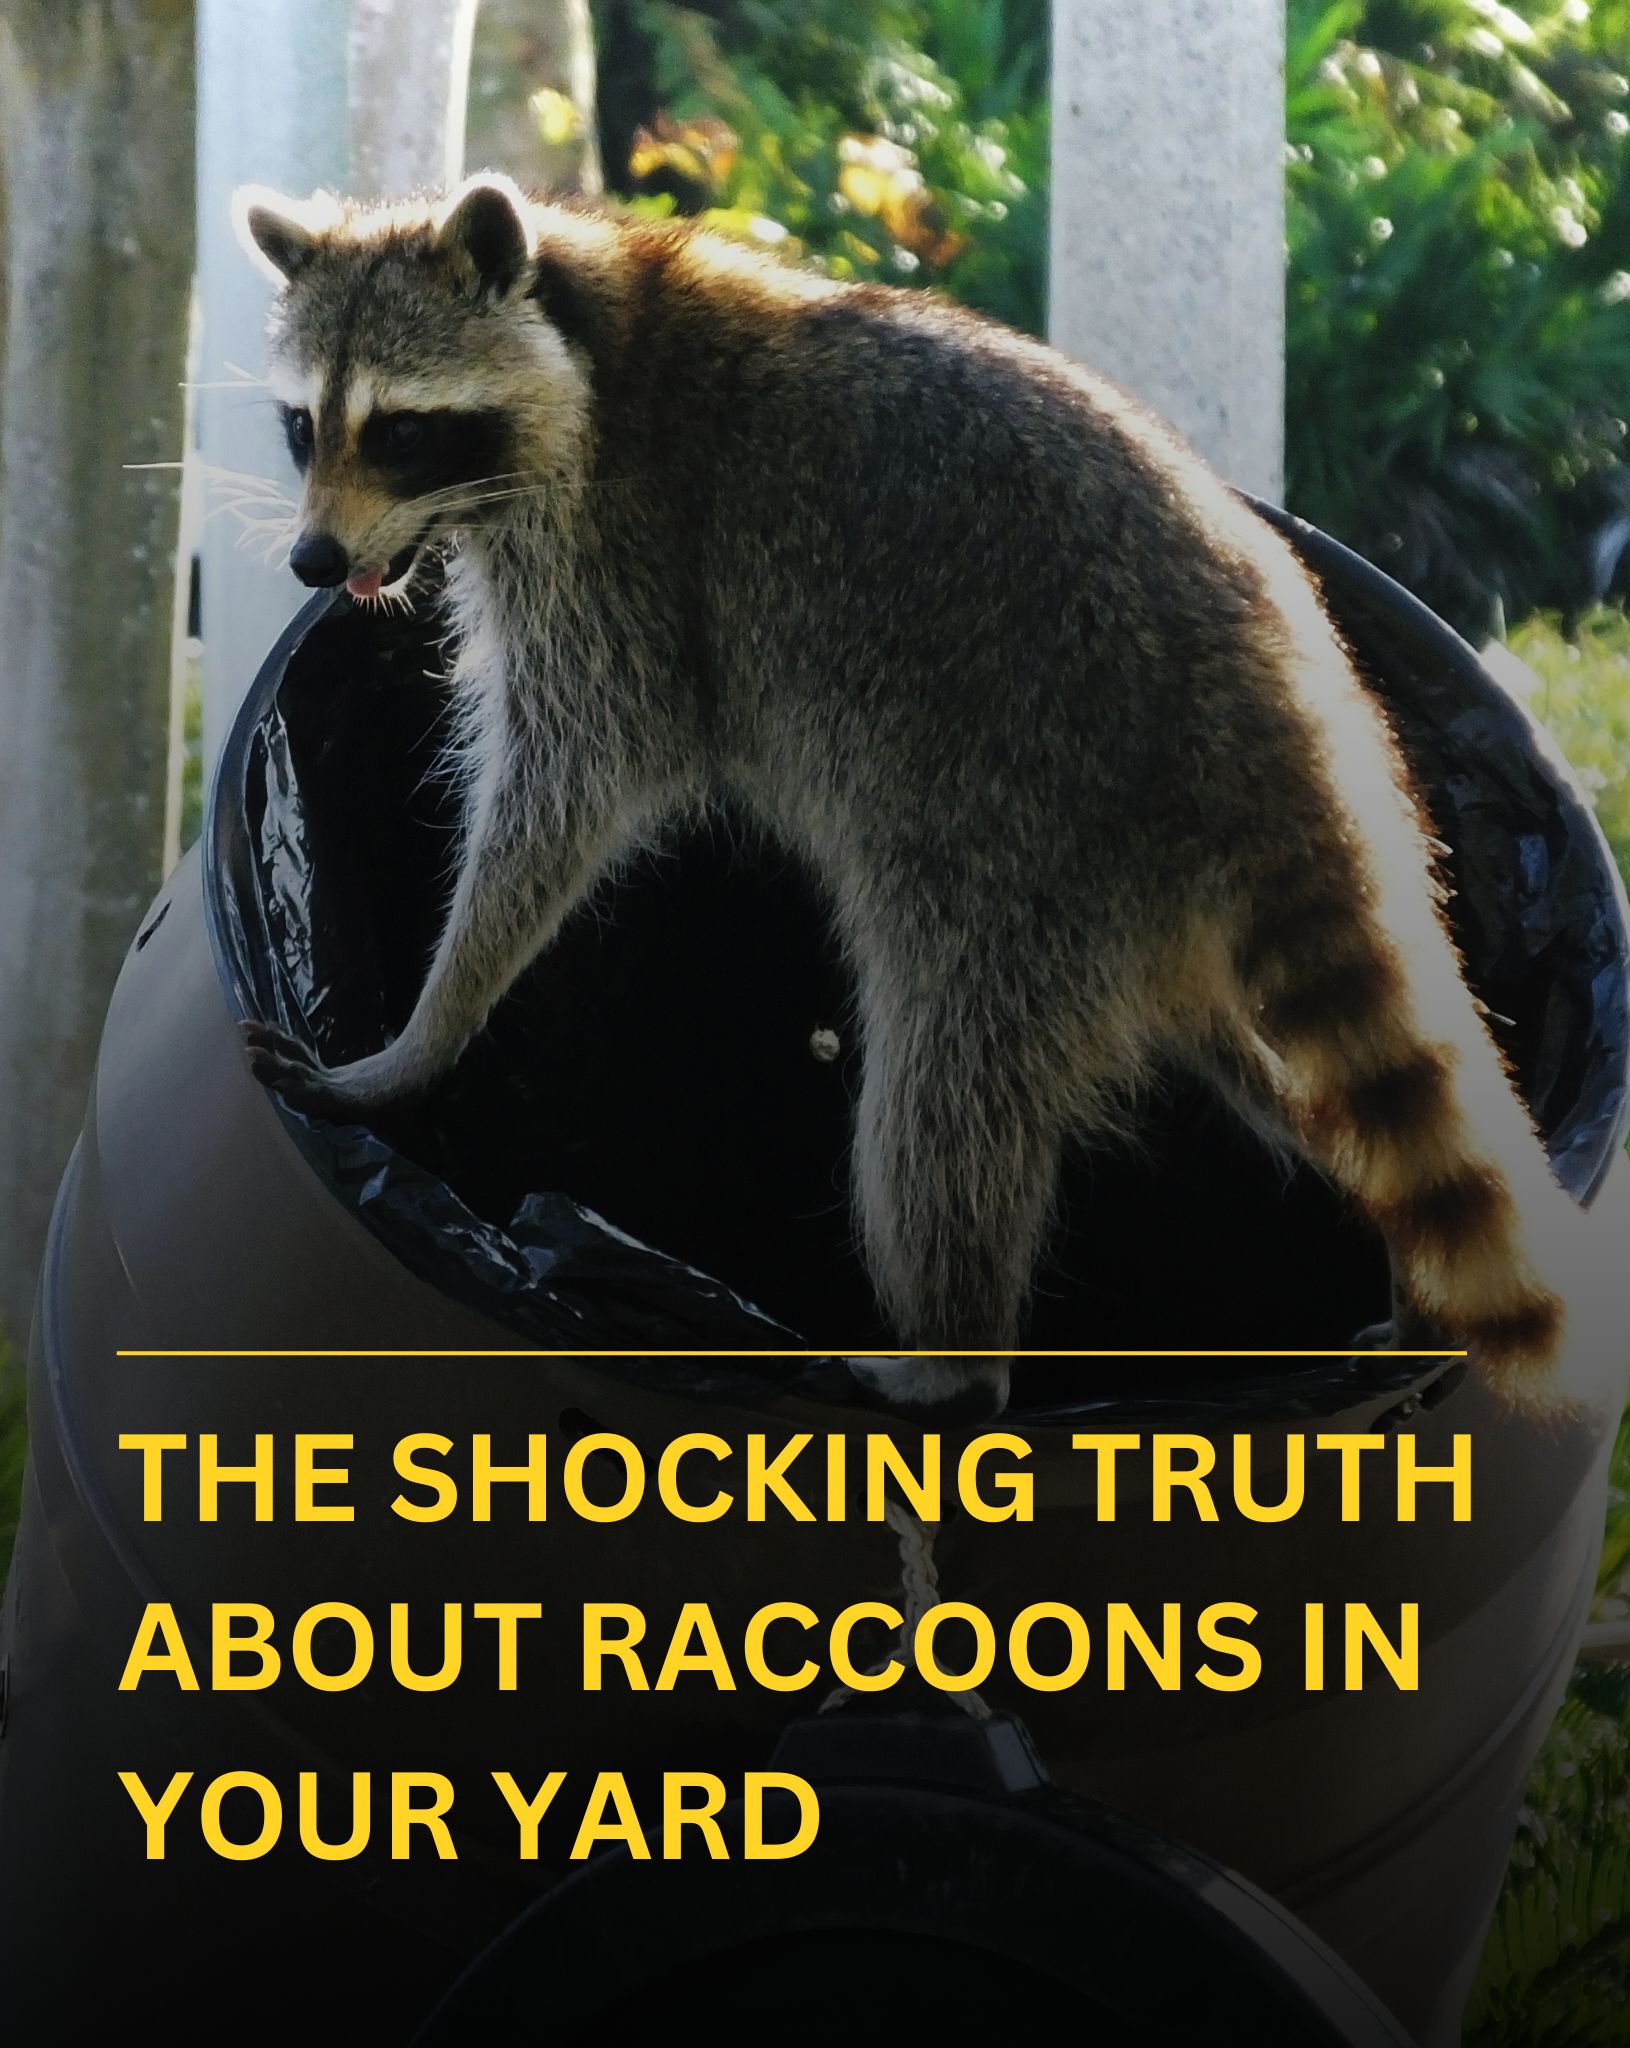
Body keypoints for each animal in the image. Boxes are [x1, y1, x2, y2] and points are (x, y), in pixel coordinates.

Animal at [234, 172, 1588, 1418]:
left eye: (403, 430)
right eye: (303, 425)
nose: (310, 559)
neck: (592, 332)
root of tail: (1271, 706)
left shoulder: (624, 562)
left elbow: (565, 791)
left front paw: (426, 1031)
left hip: (1026, 842)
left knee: (941, 1093)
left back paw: (952, 1354)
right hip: (1150, 902)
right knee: (1290, 1074)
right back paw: (1395, 1262)